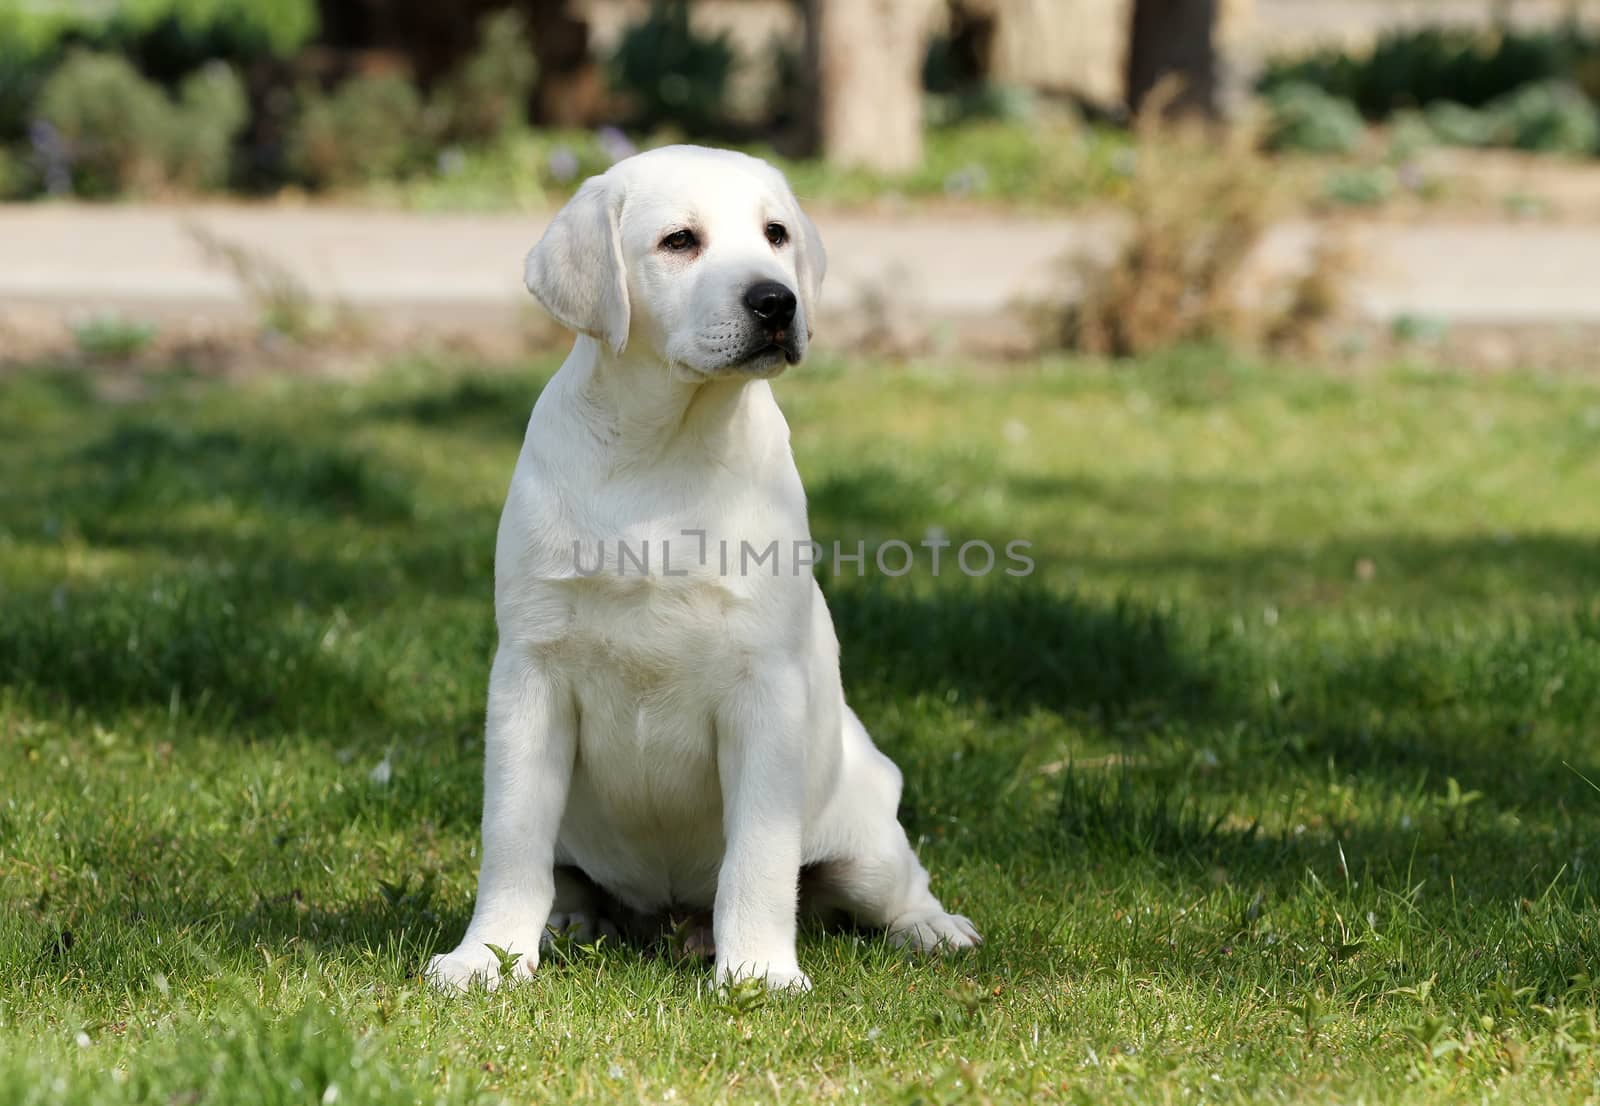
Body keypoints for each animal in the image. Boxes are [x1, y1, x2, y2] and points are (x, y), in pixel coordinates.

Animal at [428, 147, 972, 992]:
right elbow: (512, 841)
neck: (667, 445)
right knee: (564, 876)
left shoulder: (765, 686)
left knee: (895, 885)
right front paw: (488, 956)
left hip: (867, 834)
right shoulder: (531, 674)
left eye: (776, 234)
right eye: (680, 241)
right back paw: (572, 923)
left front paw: (759, 972)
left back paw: (930, 928)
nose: (777, 301)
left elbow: (760, 853)